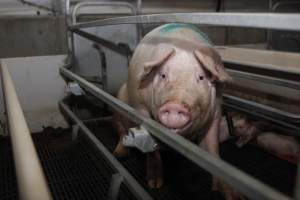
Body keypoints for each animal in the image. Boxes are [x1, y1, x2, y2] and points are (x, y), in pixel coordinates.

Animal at [113, 23, 233, 198]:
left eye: (201, 77)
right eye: (163, 75)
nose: (175, 105)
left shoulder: (217, 109)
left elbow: (213, 149)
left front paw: (230, 194)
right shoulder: (139, 105)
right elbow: (152, 151)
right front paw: (155, 185)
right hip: (118, 105)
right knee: (121, 131)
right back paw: (119, 154)